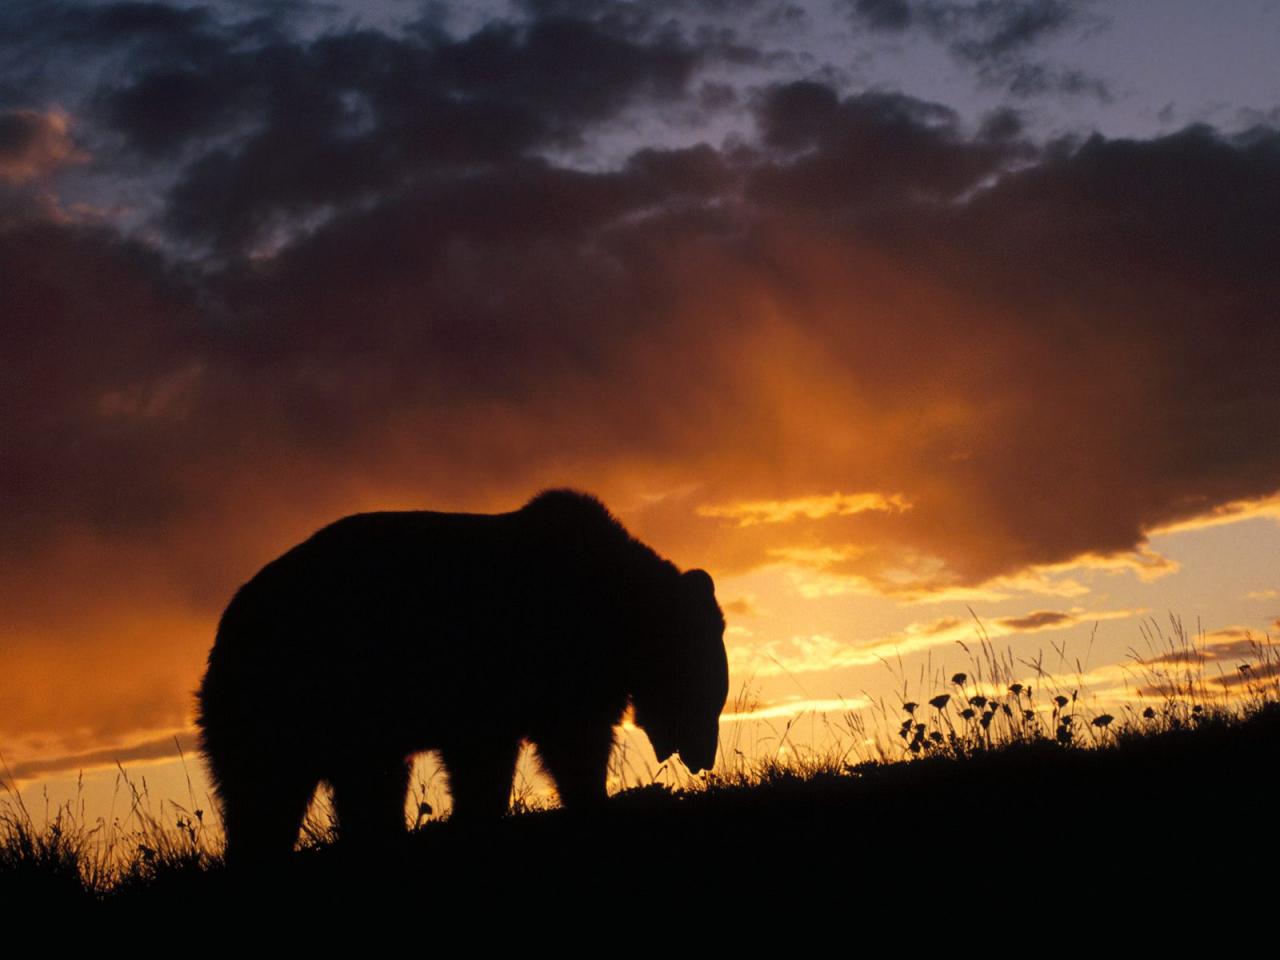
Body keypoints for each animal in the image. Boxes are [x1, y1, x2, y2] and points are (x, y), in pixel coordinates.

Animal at [193, 491, 727, 860]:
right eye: (707, 695)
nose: (704, 757)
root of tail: (227, 622)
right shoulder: (521, 665)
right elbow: (562, 745)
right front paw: (592, 802)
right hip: (290, 692)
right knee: (263, 789)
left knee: (361, 784)